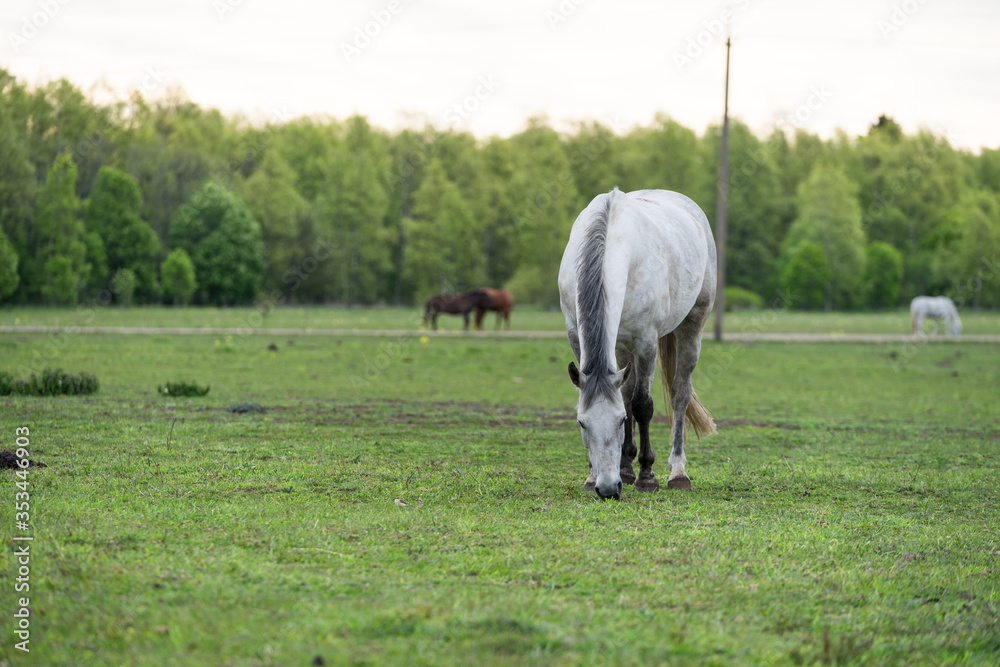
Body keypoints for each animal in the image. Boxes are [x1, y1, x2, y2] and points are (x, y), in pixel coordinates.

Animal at [558, 188, 717, 500]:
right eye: (582, 422)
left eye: (620, 420)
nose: (608, 488)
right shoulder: (577, 337)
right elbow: (625, 397)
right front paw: (599, 474)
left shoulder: (646, 342)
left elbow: (642, 405)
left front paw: (647, 476)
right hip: (620, 347)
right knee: (627, 388)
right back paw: (626, 468)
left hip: (692, 326)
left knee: (680, 393)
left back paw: (677, 472)